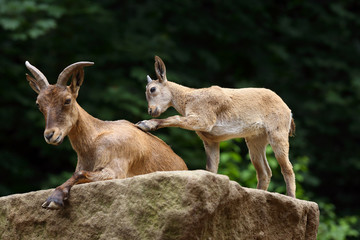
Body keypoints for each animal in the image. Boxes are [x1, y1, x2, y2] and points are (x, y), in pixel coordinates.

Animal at [25, 61, 188, 209]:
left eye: (67, 100)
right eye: (38, 104)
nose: (50, 135)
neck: (92, 143)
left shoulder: (115, 170)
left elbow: (79, 175)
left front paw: (54, 199)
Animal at [136, 55, 296, 197]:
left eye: (152, 89)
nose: (151, 111)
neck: (189, 98)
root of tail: (288, 109)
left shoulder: (204, 120)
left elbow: (175, 118)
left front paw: (145, 124)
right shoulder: (210, 140)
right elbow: (211, 168)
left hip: (277, 133)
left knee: (287, 167)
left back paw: (291, 197)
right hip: (256, 139)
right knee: (264, 172)